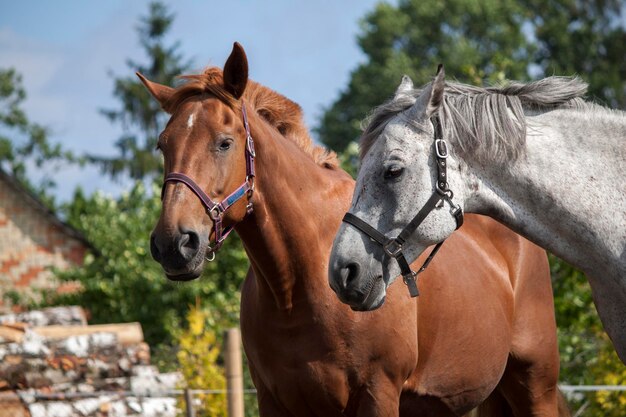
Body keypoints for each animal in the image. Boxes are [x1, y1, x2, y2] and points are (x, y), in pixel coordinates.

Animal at [144, 43, 564, 416]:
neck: (296, 288)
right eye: (163, 145)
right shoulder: (274, 402)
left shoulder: (378, 394)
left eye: (224, 143)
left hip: (535, 386)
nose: (174, 243)